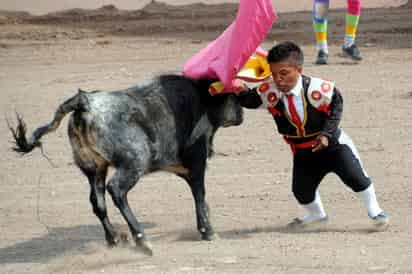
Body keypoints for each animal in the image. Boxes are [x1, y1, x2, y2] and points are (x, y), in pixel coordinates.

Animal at [8, 74, 241, 256]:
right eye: (234, 94)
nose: (241, 114)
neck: (202, 98)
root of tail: (84, 102)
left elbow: (201, 198)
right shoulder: (197, 163)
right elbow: (199, 195)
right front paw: (208, 231)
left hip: (94, 168)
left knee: (97, 201)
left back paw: (114, 239)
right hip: (134, 163)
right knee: (117, 190)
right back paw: (142, 240)